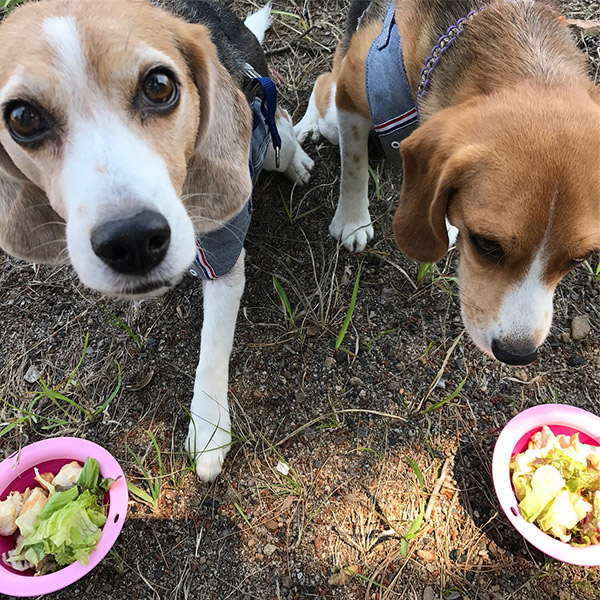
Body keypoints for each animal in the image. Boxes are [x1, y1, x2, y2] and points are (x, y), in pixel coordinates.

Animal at [1, 0, 314, 480]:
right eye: (22, 118)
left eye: (160, 86)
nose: (131, 240)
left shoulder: (222, 254)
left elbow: (212, 348)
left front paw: (209, 432)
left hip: (264, 136)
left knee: (284, 135)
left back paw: (297, 162)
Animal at [296, 0, 600, 366]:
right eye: (487, 244)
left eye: (579, 259)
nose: (516, 354)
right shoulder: (351, 101)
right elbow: (354, 168)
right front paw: (353, 223)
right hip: (334, 108)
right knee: (323, 83)